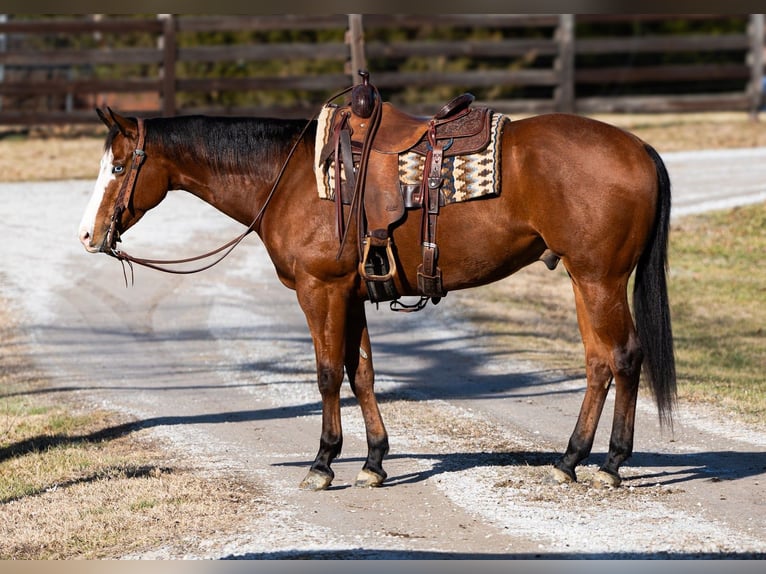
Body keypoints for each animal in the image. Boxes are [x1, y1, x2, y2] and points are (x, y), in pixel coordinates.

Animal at [78, 104, 676, 491]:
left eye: (117, 167)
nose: (87, 235)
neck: (291, 178)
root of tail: (640, 147)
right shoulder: (352, 294)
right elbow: (360, 371)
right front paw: (374, 460)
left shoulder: (321, 291)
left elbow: (326, 374)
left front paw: (323, 462)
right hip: (583, 280)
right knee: (599, 363)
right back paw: (571, 458)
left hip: (599, 279)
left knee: (624, 357)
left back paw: (612, 463)